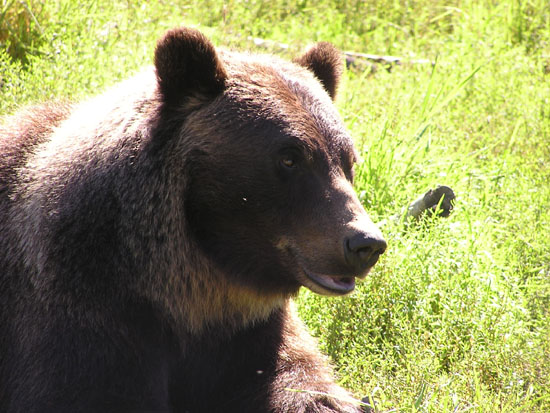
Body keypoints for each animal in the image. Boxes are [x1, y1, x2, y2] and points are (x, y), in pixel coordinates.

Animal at [0, 27, 388, 410]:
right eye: (290, 157)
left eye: (348, 159)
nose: (365, 243)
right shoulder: (82, 313)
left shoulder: (251, 334)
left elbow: (298, 382)